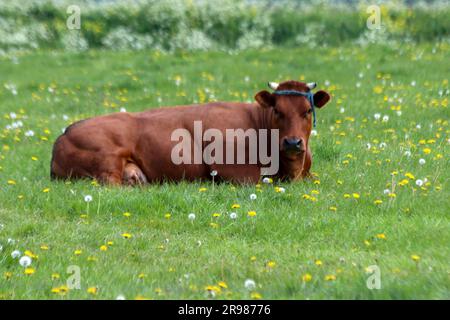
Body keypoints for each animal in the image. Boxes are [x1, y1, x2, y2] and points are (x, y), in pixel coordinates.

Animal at [50, 80, 330, 184]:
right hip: (107, 159)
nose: (293, 142)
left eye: (307, 110)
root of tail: (65, 132)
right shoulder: (237, 173)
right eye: (278, 111)